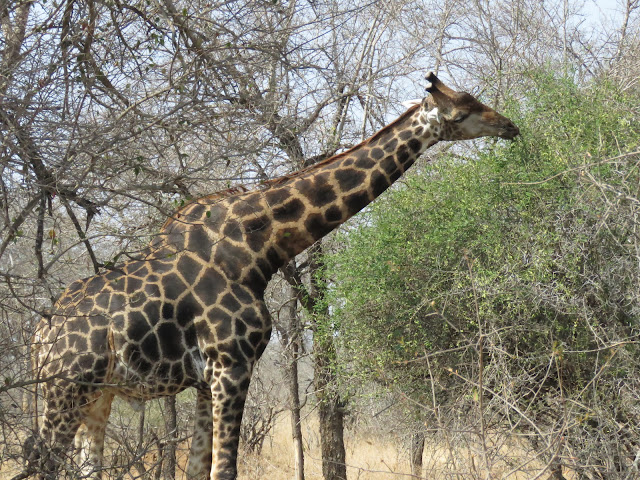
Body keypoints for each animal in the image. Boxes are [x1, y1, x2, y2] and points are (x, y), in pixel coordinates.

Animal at [28, 72, 520, 480]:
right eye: (467, 104)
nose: (510, 126)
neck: (258, 249)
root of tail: (38, 337)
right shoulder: (232, 364)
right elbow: (225, 470)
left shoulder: (207, 380)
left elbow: (199, 469)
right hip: (63, 388)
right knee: (42, 463)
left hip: (98, 395)